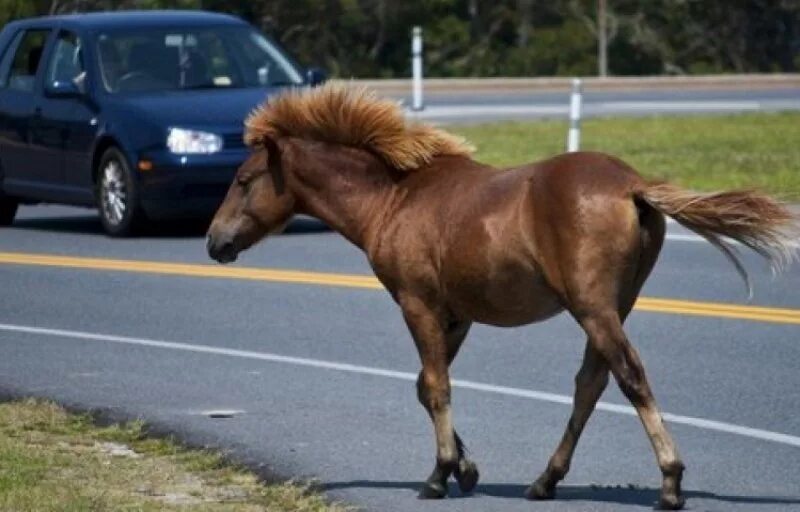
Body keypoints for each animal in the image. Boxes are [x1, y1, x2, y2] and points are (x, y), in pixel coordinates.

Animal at [206, 83, 792, 508]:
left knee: (629, 377)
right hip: (612, 307)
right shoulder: (456, 315)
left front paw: (440, 475)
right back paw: (545, 481)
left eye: (244, 179)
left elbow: (436, 387)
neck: (395, 198)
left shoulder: (417, 304)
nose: (215, 242)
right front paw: (465, 468)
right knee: (591, 383)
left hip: (593, 309)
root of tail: (633, 186)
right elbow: (424, 386)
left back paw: (670, 483)